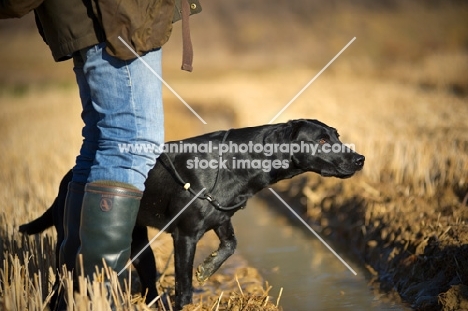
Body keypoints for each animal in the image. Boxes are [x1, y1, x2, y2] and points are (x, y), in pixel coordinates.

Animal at [19, 119, 366, 310]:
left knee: (148, 280)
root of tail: (69, 177)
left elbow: (231, 246)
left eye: (336, 135)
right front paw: (193, 288)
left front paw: (207, 269)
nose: (361, 158)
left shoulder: (222, 219)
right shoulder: (184, 235)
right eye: (322, 140)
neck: (237, 163)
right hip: (67, 239)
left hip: (139, 245)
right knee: (63, 274)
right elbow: (183, 286)